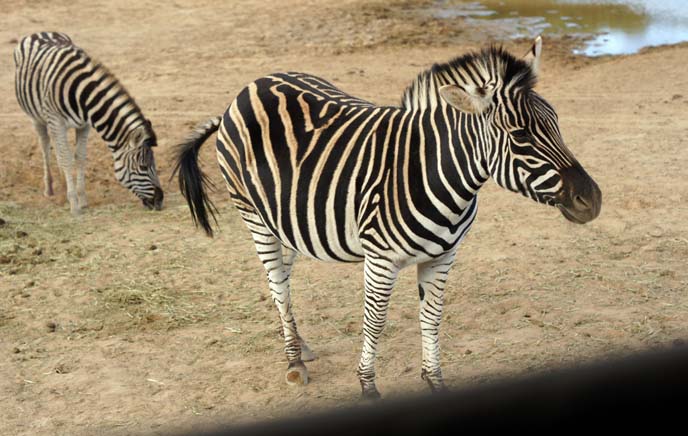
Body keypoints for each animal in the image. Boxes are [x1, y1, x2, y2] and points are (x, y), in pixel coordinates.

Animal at [14, 31, 165, 214]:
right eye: (143, 167)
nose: (160, 200)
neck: (80, 93)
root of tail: (41, 32)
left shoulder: (84, 125)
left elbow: (79, 157)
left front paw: (82, 199)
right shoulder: (57, 122)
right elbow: (66, 158)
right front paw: (74, 205)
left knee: (57, 148)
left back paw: (63, 183)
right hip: (36, 117)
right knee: (45, 146)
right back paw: (49, 188)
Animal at [173, 37, 600, 398]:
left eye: (556, 121)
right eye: (519, 135)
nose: (593, 199)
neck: (436, 172)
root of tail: (249, 87)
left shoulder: (443, 256)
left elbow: (432, 317)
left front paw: (434, 381)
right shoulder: (381, 259)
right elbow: (375, 321)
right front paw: (368, 387)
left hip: (286, 218)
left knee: (285, 281)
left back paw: (299, 345)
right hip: (254, 216)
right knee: (277, 283)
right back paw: (293, 361)